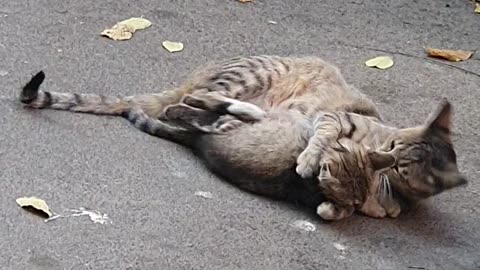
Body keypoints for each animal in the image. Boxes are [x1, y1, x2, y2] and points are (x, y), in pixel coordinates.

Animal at [20, 54, 466, 217]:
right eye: (395, 146)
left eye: (405, 163)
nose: (386, 151)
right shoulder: (332, 119)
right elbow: (323, 134)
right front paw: (310, 159)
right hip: (248, 79)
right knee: (187, 106)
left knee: (194, 115)